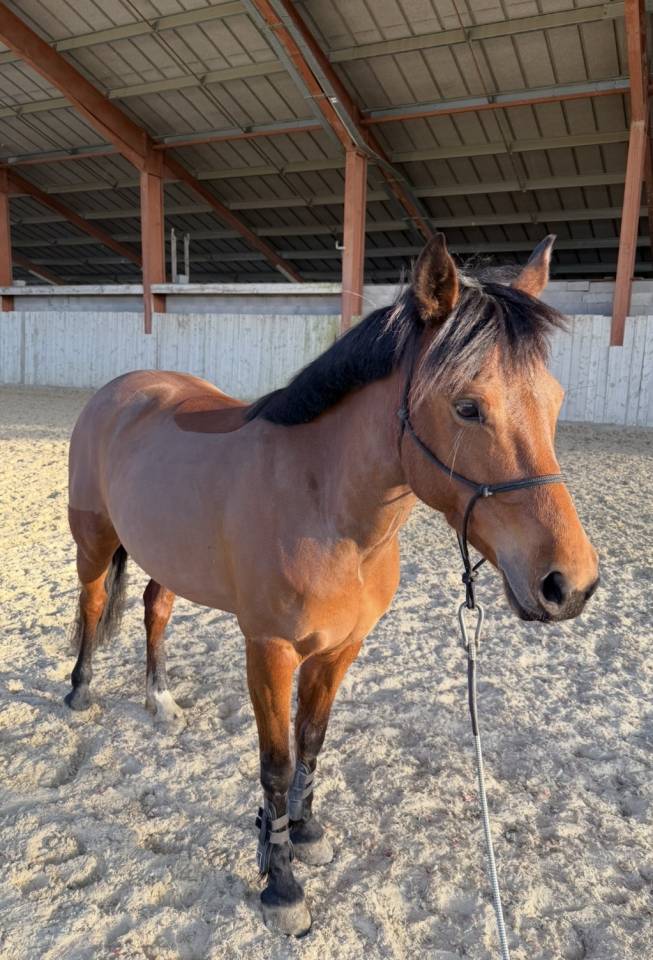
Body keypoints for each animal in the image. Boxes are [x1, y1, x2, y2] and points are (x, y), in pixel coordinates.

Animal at [65, 233, 599, 936]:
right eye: (468, 407)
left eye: (557, 401)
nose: (571, 584)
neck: (324, 507)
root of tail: (120, 391)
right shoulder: (269, 651)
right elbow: (275, 763)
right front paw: (281, 883)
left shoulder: (341, 648)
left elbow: (312, 743)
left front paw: (305, 833)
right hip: (94, 541)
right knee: (94, 601)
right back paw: (80, 691)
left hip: (164, 553)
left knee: (156, 610)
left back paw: (161, 700)